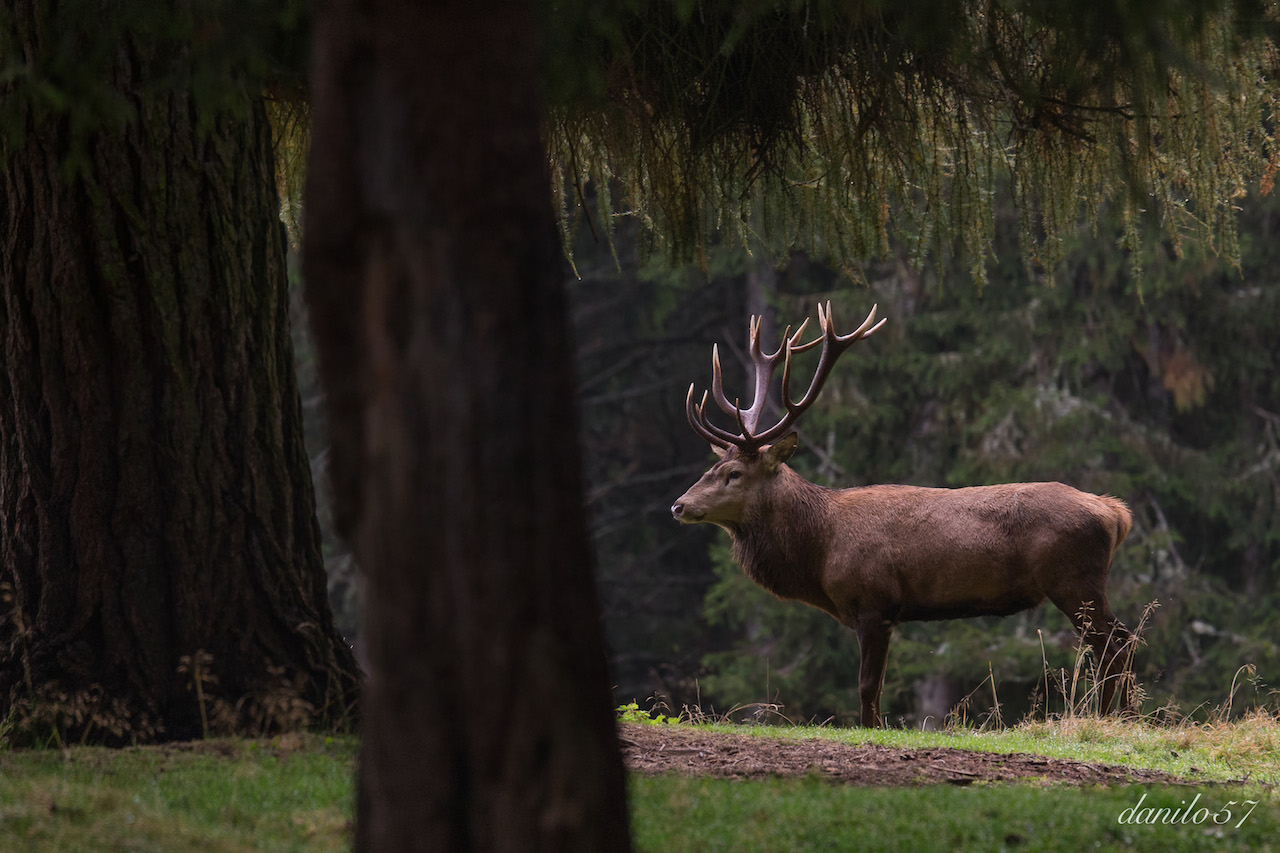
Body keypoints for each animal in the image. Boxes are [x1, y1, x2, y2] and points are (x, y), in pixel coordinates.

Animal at [671, 302, 1135, 727]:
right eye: (711, 467)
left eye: (734, 473)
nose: (679, 505)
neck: (819, 550)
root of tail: (1116, 512)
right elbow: (874, 685)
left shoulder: (874, 602)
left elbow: (867, 686)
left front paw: (871, 730)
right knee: (1121, 640)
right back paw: (1128, 717)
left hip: (1074, 580)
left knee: (1113, 644)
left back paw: (1110, 718)